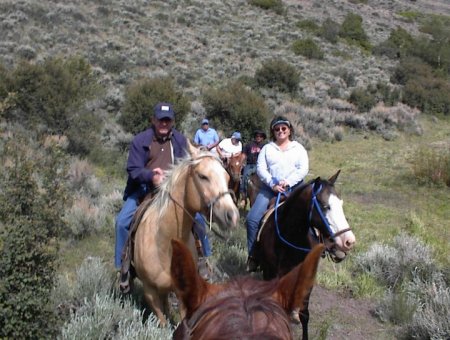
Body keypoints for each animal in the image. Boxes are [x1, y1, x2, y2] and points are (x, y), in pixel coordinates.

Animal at [132, 143, 241, 324]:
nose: (232, 216)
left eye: (227, 178)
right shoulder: (150, 292)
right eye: (203, 176)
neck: (164, 244)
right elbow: (162, 320)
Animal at [253, 170, 356, 340]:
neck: (290, 237)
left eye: (341, 204)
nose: (349, 241)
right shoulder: (273, 274)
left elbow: (304, 314)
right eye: (325, 206)